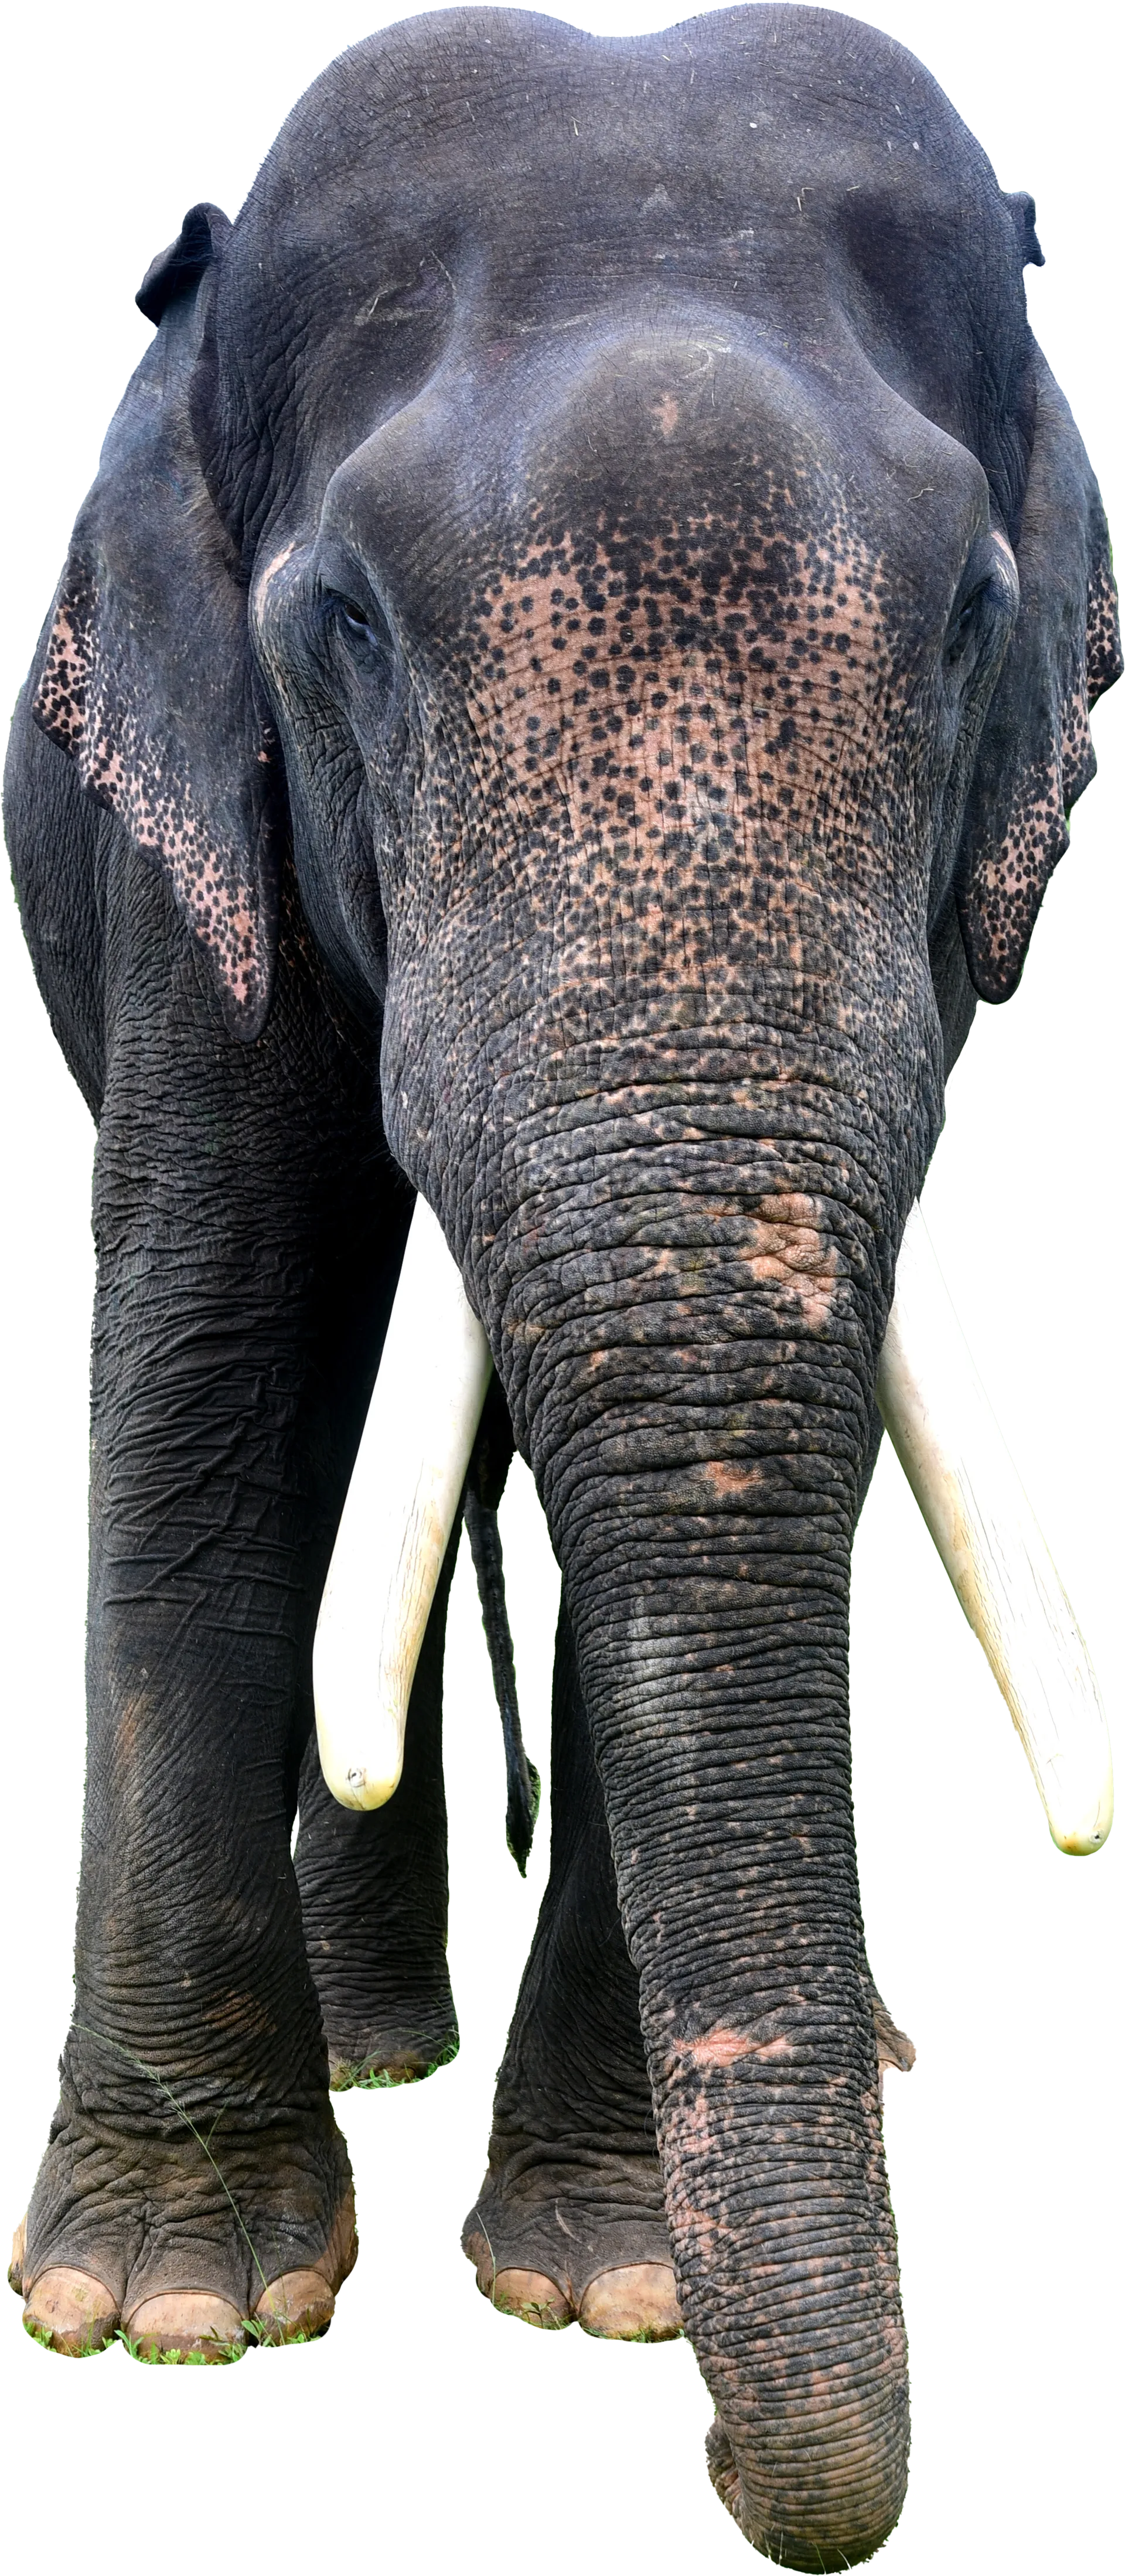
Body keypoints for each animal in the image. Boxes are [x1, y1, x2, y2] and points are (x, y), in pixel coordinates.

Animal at [4, 5, 1117, 2565]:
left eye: (974, 619)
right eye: (341, 628)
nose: (754, 2481)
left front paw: (608, 2283)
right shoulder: (181, 832)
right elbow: (207, 1377)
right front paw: (162, 2306)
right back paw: (376, 2045)